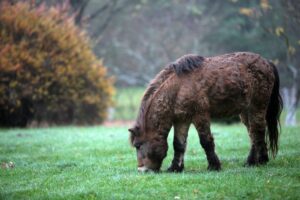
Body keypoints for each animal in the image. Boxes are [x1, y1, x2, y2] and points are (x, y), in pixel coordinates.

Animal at [129, 52, 284, 173]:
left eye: (138, 145)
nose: (142, 170)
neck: (178, 87)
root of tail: (267, 62)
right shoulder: (182, 119)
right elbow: (178, 144)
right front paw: (175, 168)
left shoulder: (200, 115)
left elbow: (206, 141)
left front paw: (214, 166)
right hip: (246, 112)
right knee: (253, 133)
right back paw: (251, 162)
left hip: (258, 106)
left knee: (258, 130)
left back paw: (262, 160)